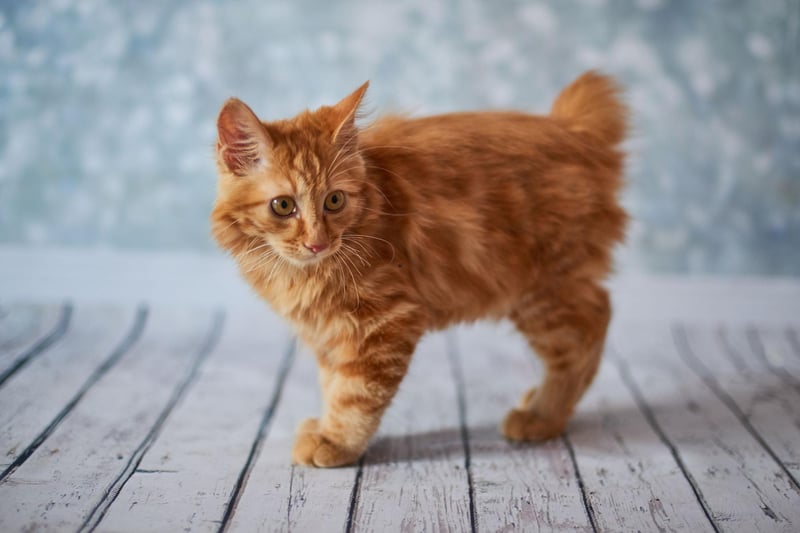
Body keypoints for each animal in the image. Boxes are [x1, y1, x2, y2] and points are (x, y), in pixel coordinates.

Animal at [209, 71, 628, 466]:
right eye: (283, 206)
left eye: (334, 200)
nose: (318, 242)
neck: (302, 273)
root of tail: (572, 129)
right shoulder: (329, 330)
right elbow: (332, 383)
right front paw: (325, 426)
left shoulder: (385, 321)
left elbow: (356, 394)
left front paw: (337, 442)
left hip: (541, 292)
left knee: (591, 326)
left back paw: (543, 416)